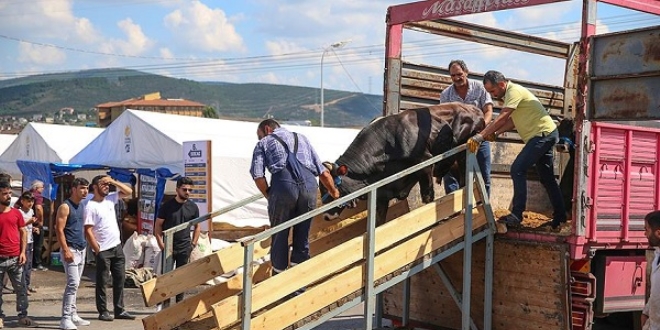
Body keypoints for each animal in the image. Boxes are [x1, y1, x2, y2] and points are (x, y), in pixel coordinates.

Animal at [320, 103, 484, 224]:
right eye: (321, 187)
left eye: (331, 186)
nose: (326, 217)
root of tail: (474, 109)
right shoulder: (382, 193)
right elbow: (379, 221)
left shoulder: (425, 165)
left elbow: (428, 197)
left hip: (463, 156)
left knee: (464, 182)